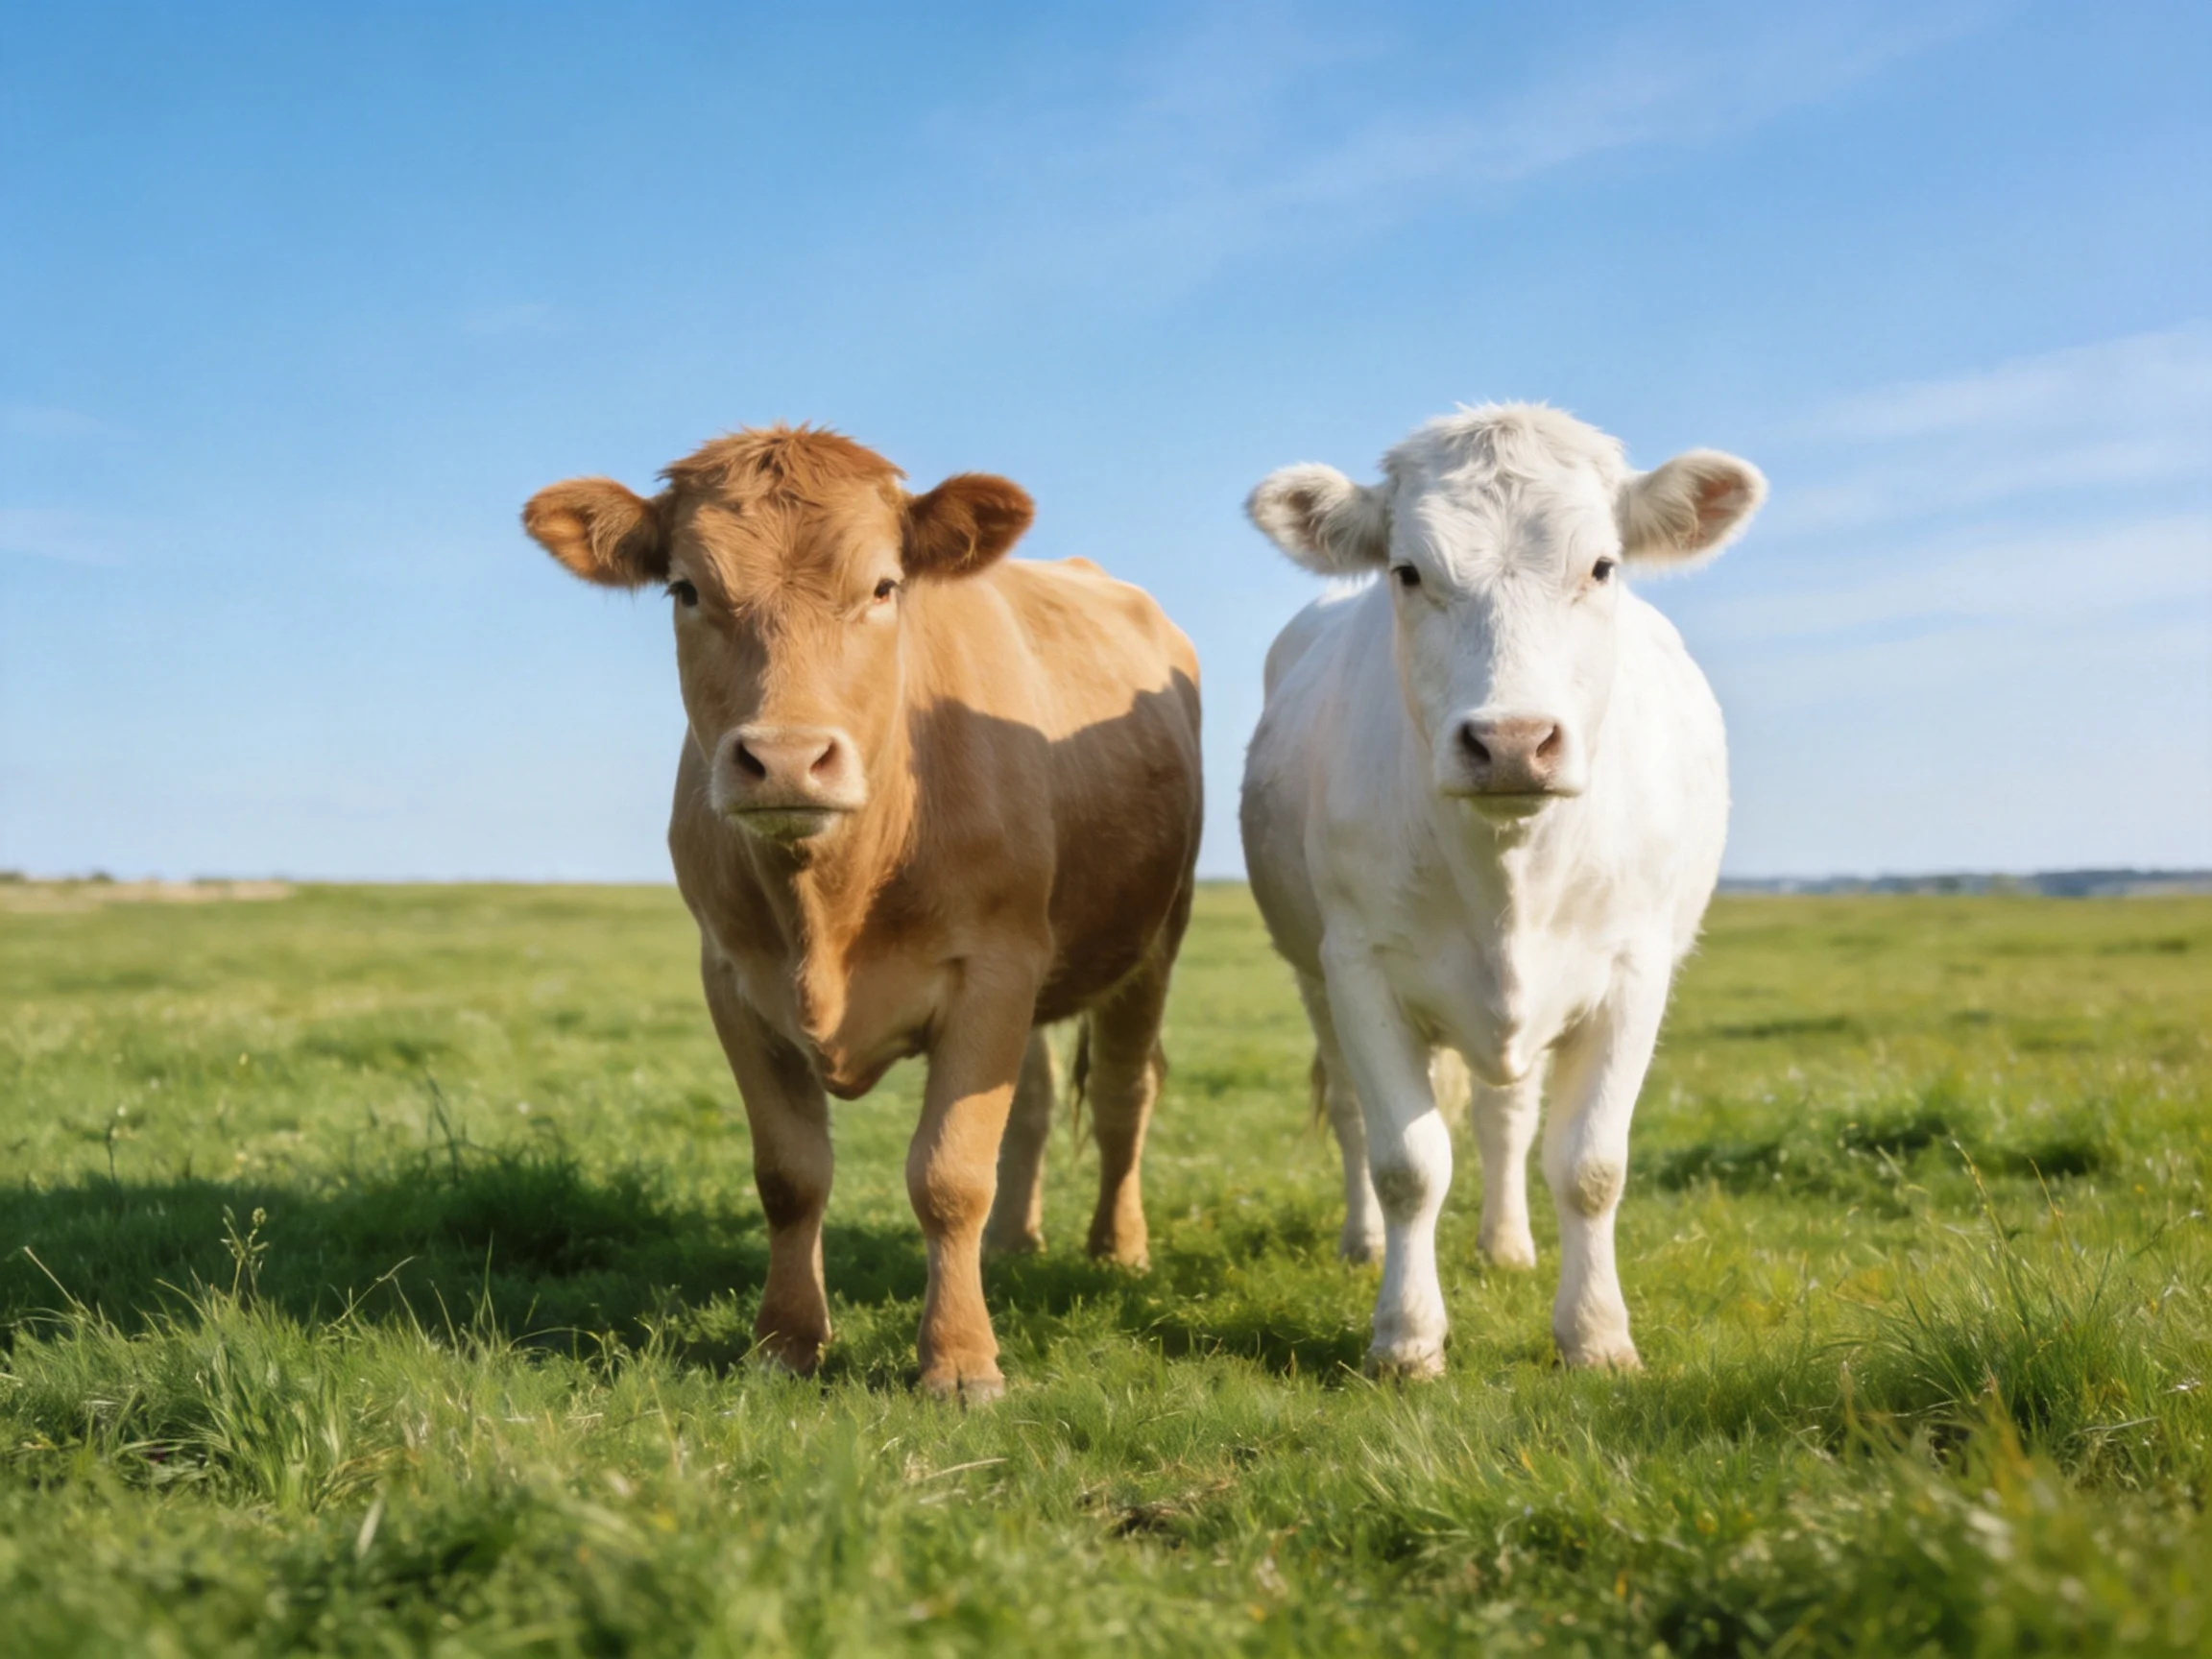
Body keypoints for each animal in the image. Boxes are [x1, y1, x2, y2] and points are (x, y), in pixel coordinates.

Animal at [523, 427, 1202, 1403]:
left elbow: (950, 1173)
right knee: (1033, 1107)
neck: (833, 897)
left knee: (1121, 1095)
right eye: (687, 589)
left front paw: (959, 1360)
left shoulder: (993, 970)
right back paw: (1016, 1241)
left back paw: (1117, 1248)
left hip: (1155, 938)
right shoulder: (731, 979)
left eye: (883, 587)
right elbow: (790, 1174)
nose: (787, 757)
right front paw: (785, 1341)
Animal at [1238, 404, 1764, 1375]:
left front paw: (1595, 1333)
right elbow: (1407, 1163)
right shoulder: (1359, 967)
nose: (1513, 742)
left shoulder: (1633, 972)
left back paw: (1507, 1246)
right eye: (1408, 570)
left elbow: (1590, 1164)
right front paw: (1405, 1337)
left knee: (1505, 1115)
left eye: (1602, 566)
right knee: (1354, 1116)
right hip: (1313, 979)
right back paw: (1363, 1244)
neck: (1505, 872)